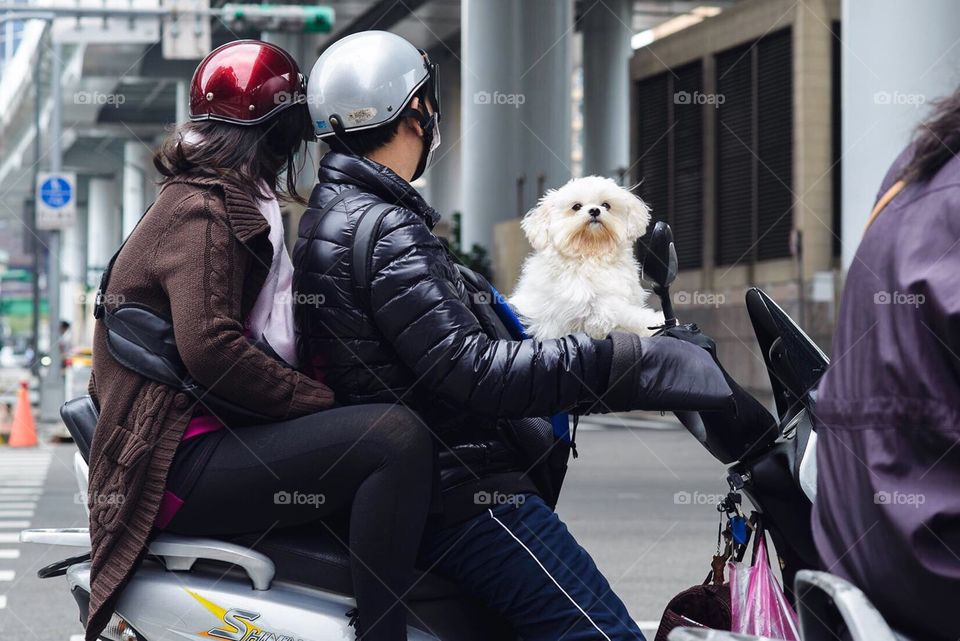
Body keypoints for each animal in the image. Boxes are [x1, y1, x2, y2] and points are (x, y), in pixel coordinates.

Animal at [512, 175, 664, 340]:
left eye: (606, 205)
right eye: (576, 207)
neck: (590, 255)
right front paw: (658, 321)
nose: (595, 210)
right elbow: (628, 317)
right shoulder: (593, 310)